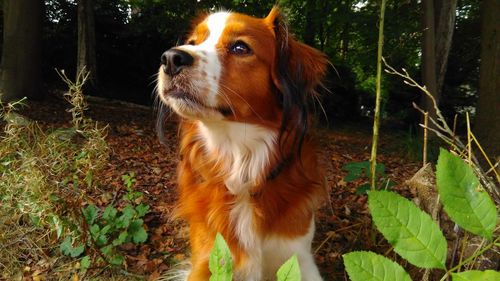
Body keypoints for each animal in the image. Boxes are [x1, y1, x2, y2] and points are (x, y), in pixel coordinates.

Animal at [156, 6, 328, 280]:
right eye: (193, 43)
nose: (171, 58)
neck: (242, 163)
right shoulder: (207, 257)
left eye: (240, 47)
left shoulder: (298, 257)